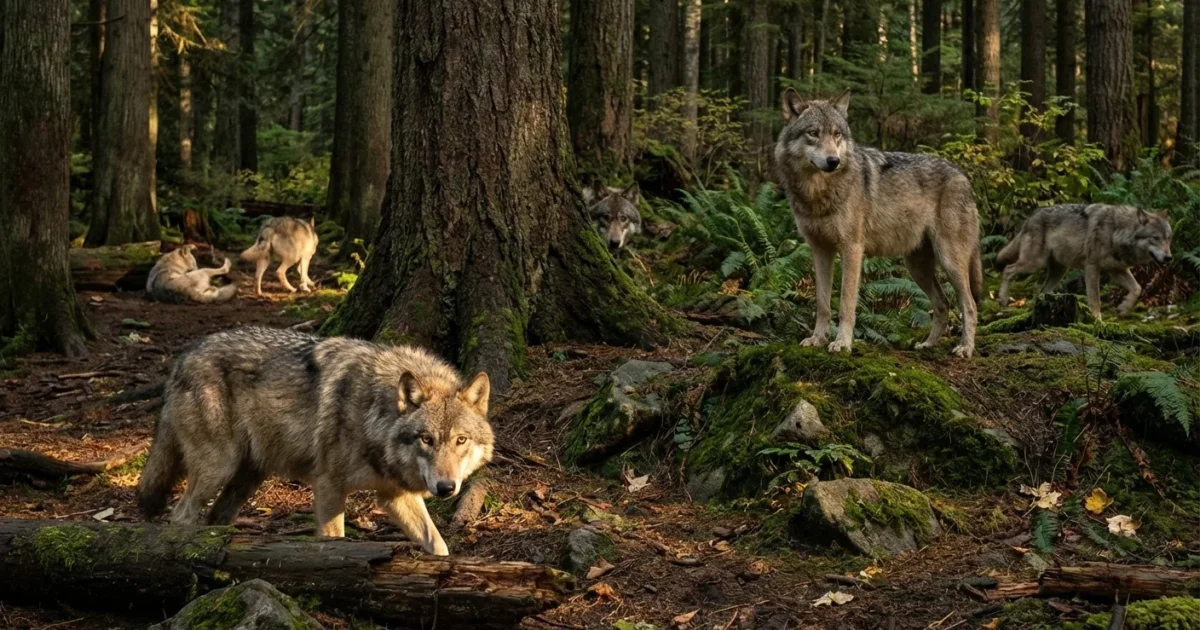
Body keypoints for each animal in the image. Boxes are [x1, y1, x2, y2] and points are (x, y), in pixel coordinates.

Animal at [136, 326, 494, 556]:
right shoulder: (329, 486)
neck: (374, 414)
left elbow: (438, 545)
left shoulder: (394, 495)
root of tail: (183, 357)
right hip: (218, 467)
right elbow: (333, 541)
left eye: (460, 440)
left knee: (214, 517)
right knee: (181, 515)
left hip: (247, 478)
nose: (446, 488)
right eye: (426, 439)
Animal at [774, 88, 984, 358]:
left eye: (837, 134)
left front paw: (842, 343)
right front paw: (817, 339)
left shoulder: (852, 249)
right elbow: (822, 303)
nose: (833, 161)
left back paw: (965, 348)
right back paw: (928, 344)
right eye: (813, 133)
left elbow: (846, 303)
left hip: (950, 262)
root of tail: (963, 176)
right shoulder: (820, 250)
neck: (818, 193)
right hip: (917, 267)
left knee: (969, 305)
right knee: (943, 304)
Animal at [997, 204, 1173, 319]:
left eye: (1168, 239)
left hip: (1059, 271)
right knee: (1008, 269)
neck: (1116, 231)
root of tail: (1032, 215)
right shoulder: (1092, 267)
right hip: (1034, 263)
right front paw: (1097, 321)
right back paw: (1003, 299)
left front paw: (1123, 309)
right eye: (1155, 238)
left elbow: (1137, 288)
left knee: (1041, 291)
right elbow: (1095, 300)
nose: (1169, 258)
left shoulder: (1117, 270)